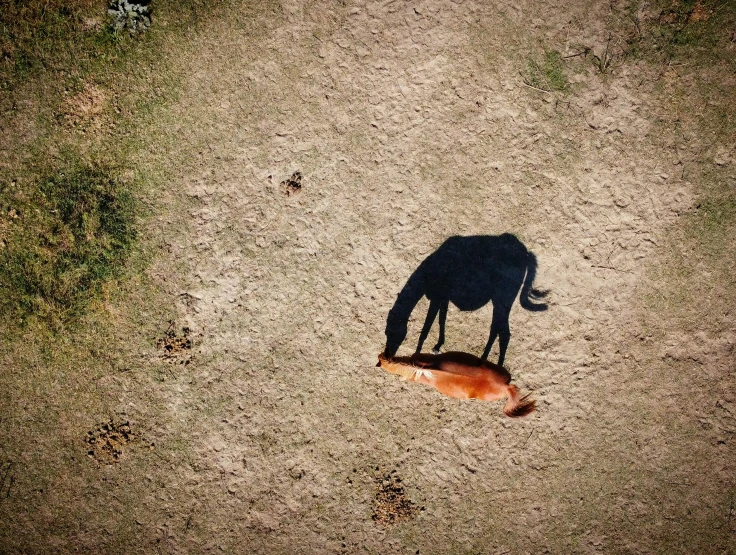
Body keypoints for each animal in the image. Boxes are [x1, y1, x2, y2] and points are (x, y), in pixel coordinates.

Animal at [386, 233, 548, 368]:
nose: (387, 356)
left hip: (502, 300)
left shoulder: (437, 298)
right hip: (500, 302)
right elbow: (441, 320)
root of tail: (526, 254)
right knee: (497, 329)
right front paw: (438, 346)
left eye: (393, 332)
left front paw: (416, 357)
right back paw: (484, 361)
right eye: (386, 332)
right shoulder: (443, 298)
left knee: (503, 333)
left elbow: (426, 328)